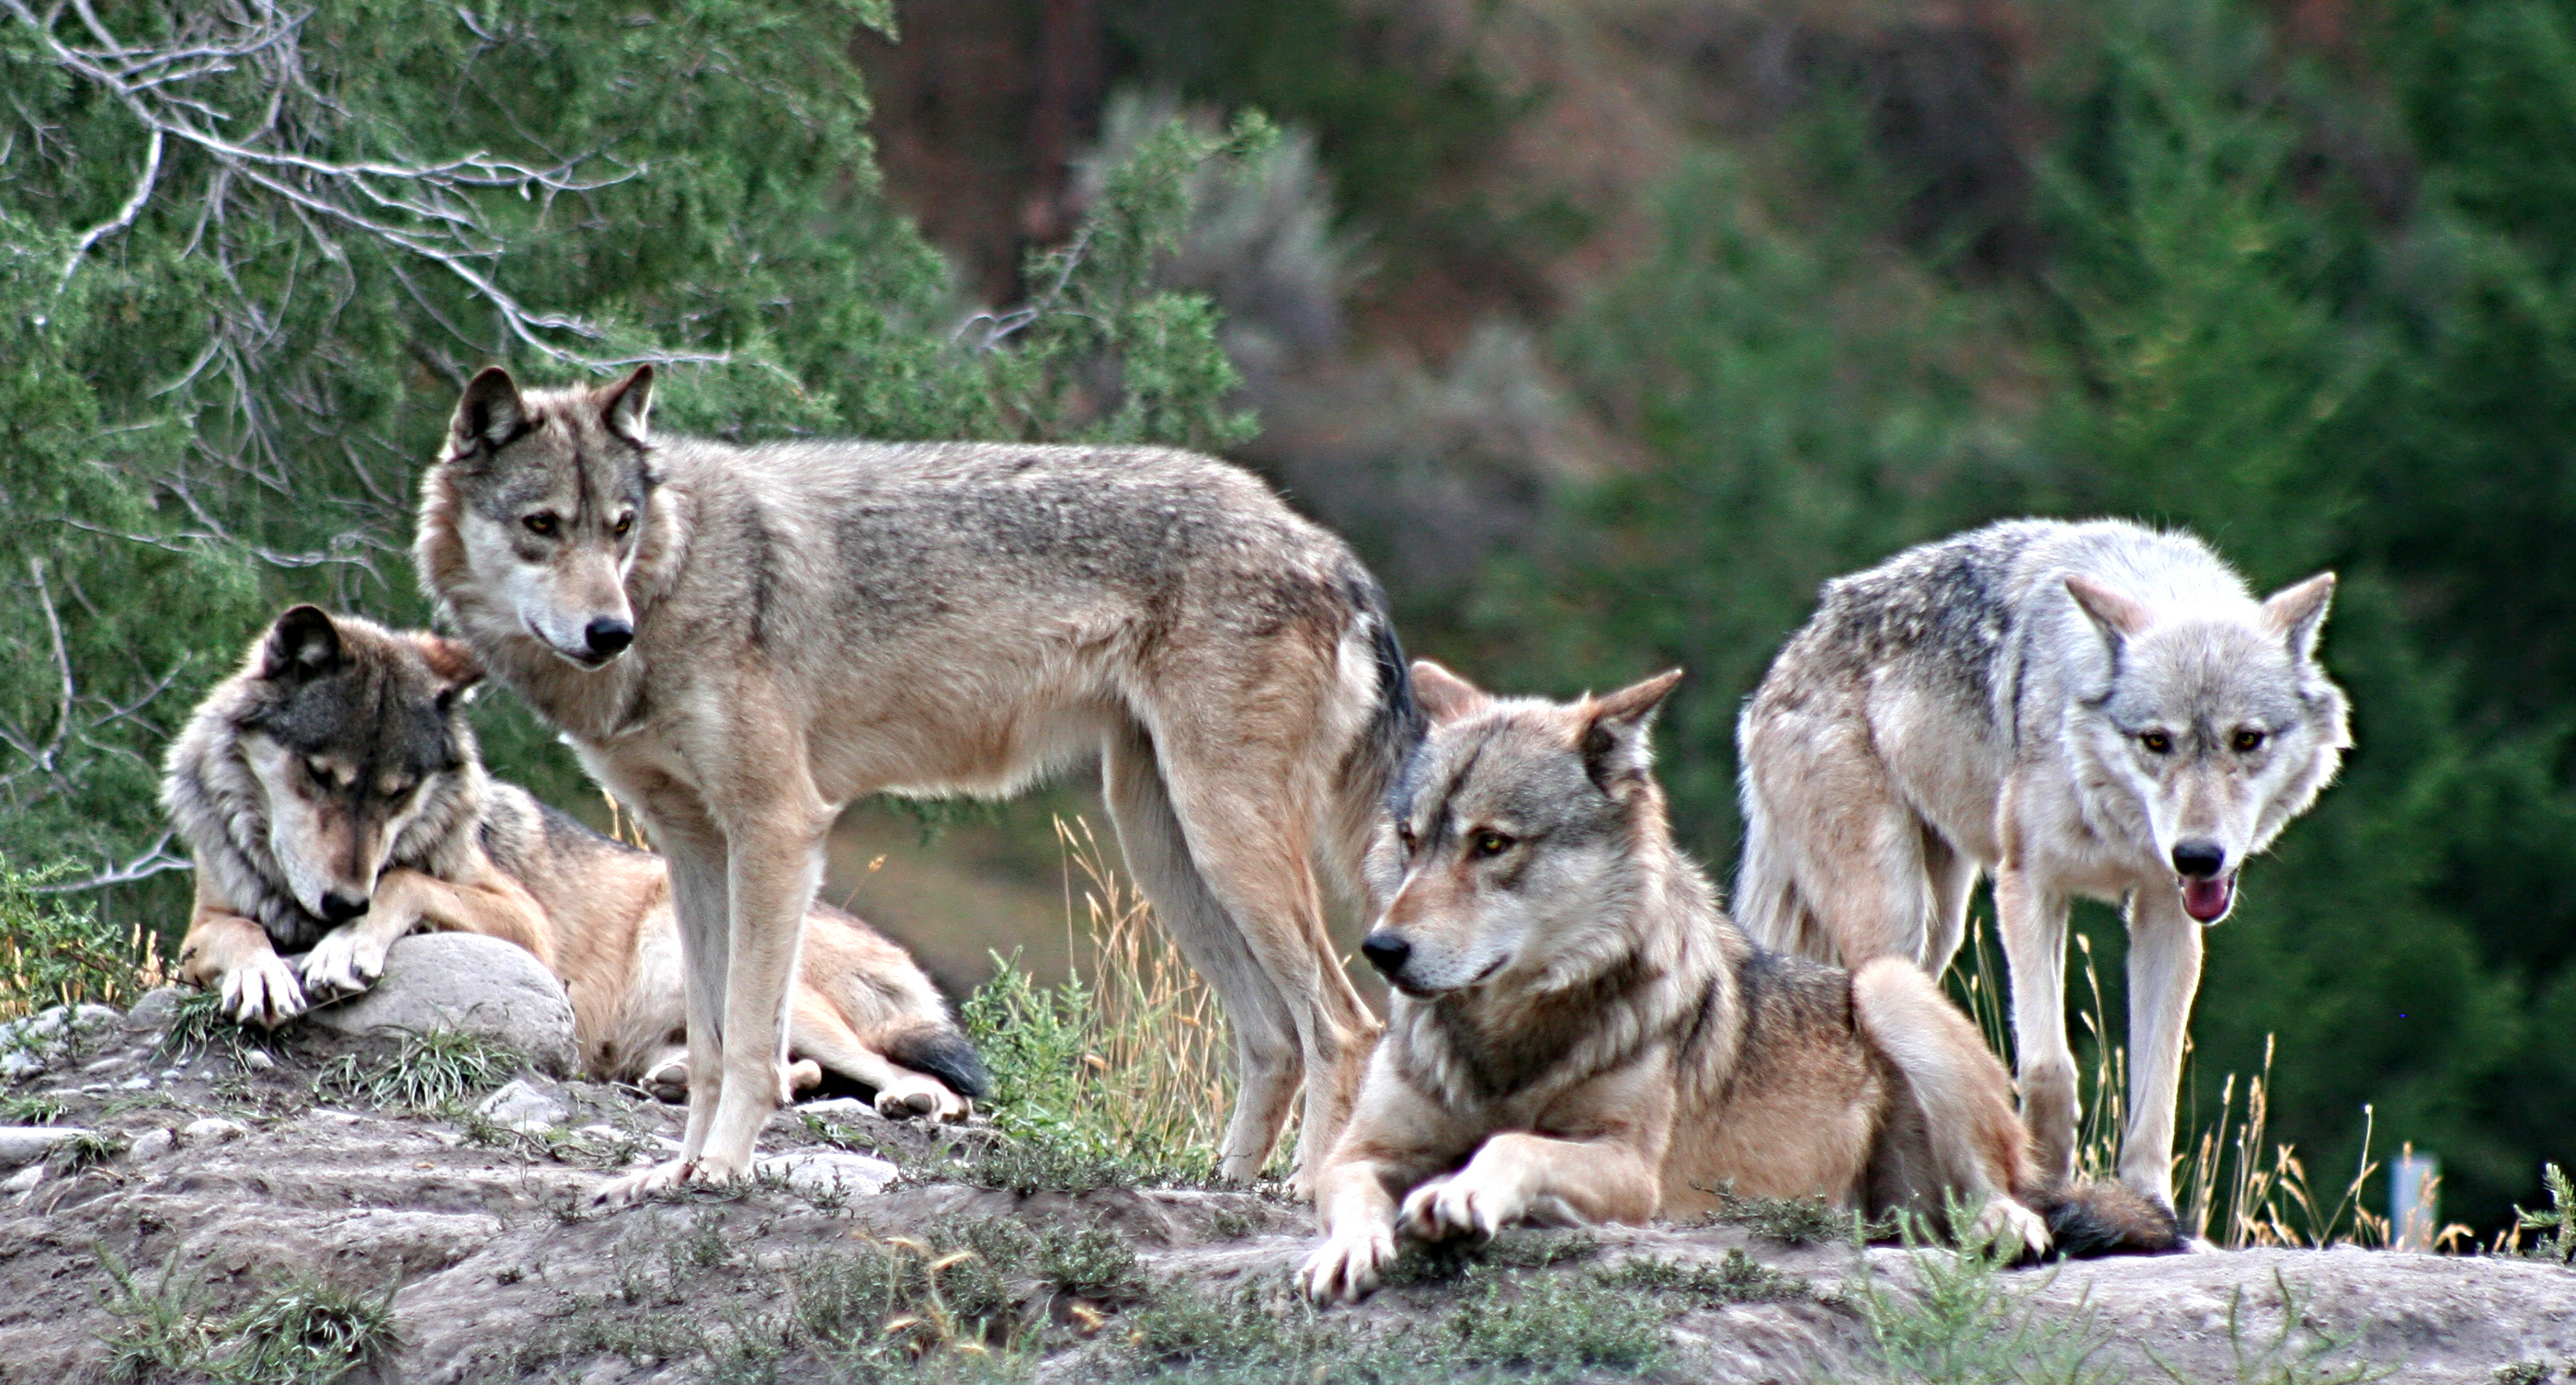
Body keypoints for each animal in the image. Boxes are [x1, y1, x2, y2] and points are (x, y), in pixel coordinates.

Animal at [161, 601, 978, 1114]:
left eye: (399, 793)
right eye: (320, 776)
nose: (341, 903)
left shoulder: (524, 923)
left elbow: (405, 879)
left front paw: (344, 946)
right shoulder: (204, 924)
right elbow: (239, 934)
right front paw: (264, 975)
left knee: (908, 1080)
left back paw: (912, 1099)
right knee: (777, 1071)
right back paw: (679, 1078)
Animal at [415, 366, 1421, 1196]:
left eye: (619, 529)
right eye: (543, 526)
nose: (607, 631)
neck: (680, 574)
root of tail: (1330, 551)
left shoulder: (780, 828)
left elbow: (750, 1045)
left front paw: (725, 1170)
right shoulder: (693, 848)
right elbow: (705, 1047)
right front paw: (675, 1173)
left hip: (1224, 839)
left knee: (1345, 1025)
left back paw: (1306, 1190)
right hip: (1164, 847)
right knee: (1274, 1036)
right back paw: (1225, 1184)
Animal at [1288, 665, 2173, 1299]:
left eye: (1493, 844)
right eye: (1411, 840)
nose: (1382, 949)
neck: (1506, 1046)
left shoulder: (1631, 1172)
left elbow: (1510, 1143)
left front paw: (1461, 1195)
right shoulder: (1361, 1152)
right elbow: (1349, 1191)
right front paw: (1347, 1250)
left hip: (1888, 985)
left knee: (2009, 1191)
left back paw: (2006, 1227)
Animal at [1730, 518, 2359, 1207]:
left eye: (2247, 740)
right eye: (2156, 741)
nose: (2197, 856)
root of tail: (1785, 661)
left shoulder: (2164, 911)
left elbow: (2157, 1084)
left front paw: (2150, 1206)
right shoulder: (2028, 886)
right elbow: (2047, 1066)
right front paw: (2042, 1178)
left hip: (1940, 925)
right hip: (1894, 915)